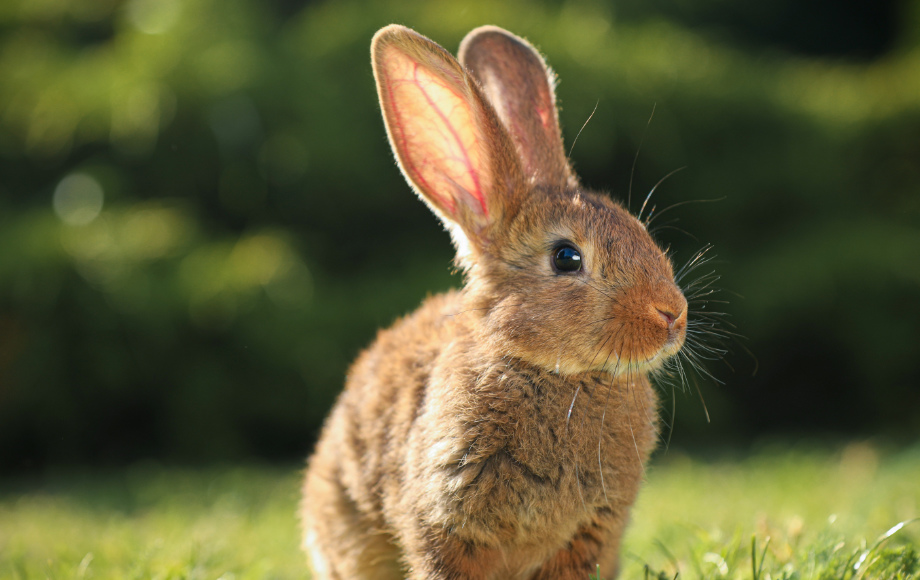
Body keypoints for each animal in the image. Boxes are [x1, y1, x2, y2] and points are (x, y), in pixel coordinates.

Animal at [302, 23, 688, 580]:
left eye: (641, 231)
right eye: (567, 258)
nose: (673, 314)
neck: (551, 370)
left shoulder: (591, 535)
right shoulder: (444, 526)